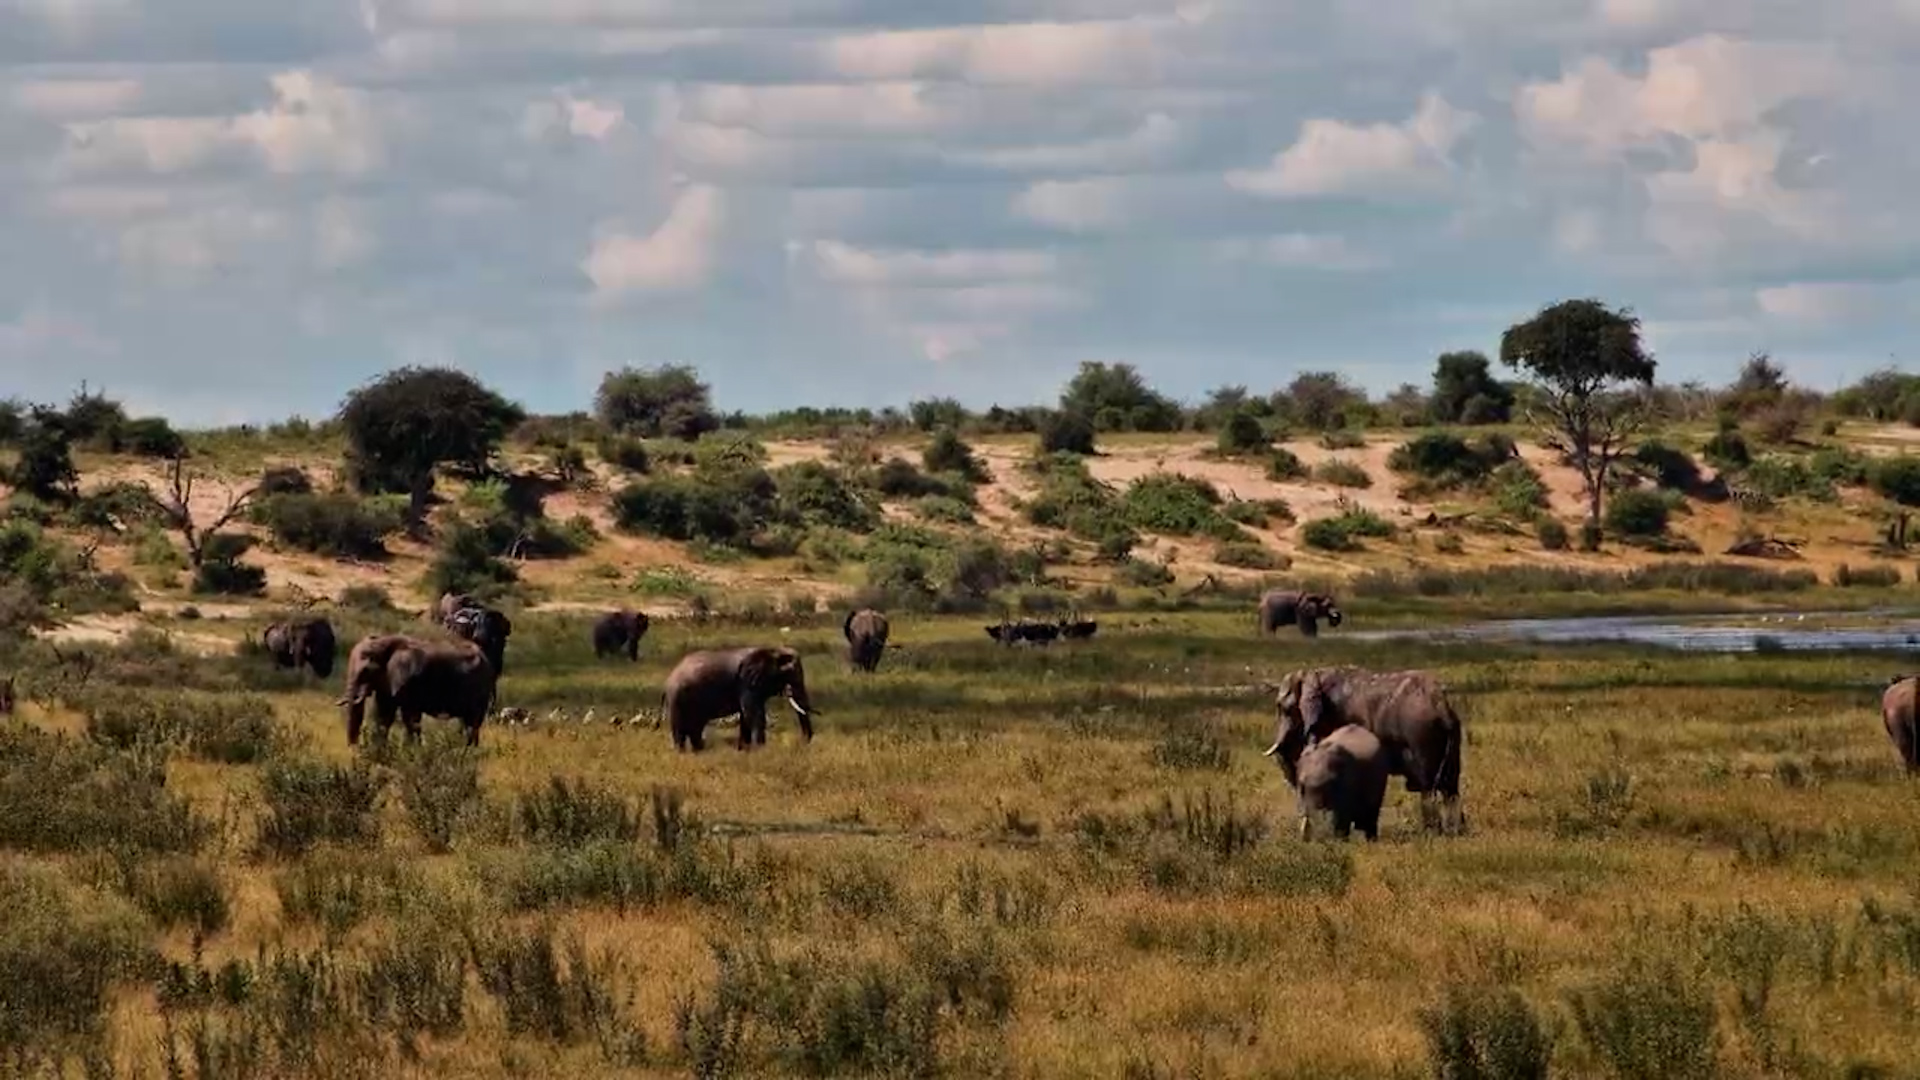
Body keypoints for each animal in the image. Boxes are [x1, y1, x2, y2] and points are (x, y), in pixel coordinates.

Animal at [336, 634, 498, 748]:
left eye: (365, 671)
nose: (354, 749)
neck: (384, 641)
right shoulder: (387, 681)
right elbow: (384, 715)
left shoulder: (407, 679)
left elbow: (410, 717)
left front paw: (412, 751)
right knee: (466, 723)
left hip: (480, 690)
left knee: (472, 722)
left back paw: (468, 752)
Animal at [662, 645, 814, 752]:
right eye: (791, 675)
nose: (803, 744)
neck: (773, 650)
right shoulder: (745, 683)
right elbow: (753, 714)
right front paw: (760, 751)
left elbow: (746, 716)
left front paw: (745, 750)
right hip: (677, 699)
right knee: (680, 730)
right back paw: (682, 753)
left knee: (695, 728)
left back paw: (699, 751)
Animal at [1265, 665, 1465, 834]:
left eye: (1284, 708)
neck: (1313, 674)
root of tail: (1444, 710)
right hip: (1451, 739)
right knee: (1451, 787)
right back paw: (1456, 831)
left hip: (1422, 736)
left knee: (1429, 787)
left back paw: (1431, 832)